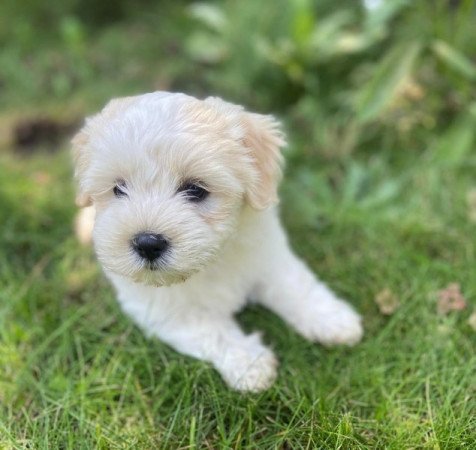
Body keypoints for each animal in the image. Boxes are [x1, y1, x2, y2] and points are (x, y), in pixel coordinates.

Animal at [72, 93, 362, 392]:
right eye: (118, 189)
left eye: (195, 190)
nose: (147, 243)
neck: (213, 259)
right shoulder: (167, 311)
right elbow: (214, 331)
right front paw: (250, 363)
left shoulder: (269, 260)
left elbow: (296, 287)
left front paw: (332, 320)